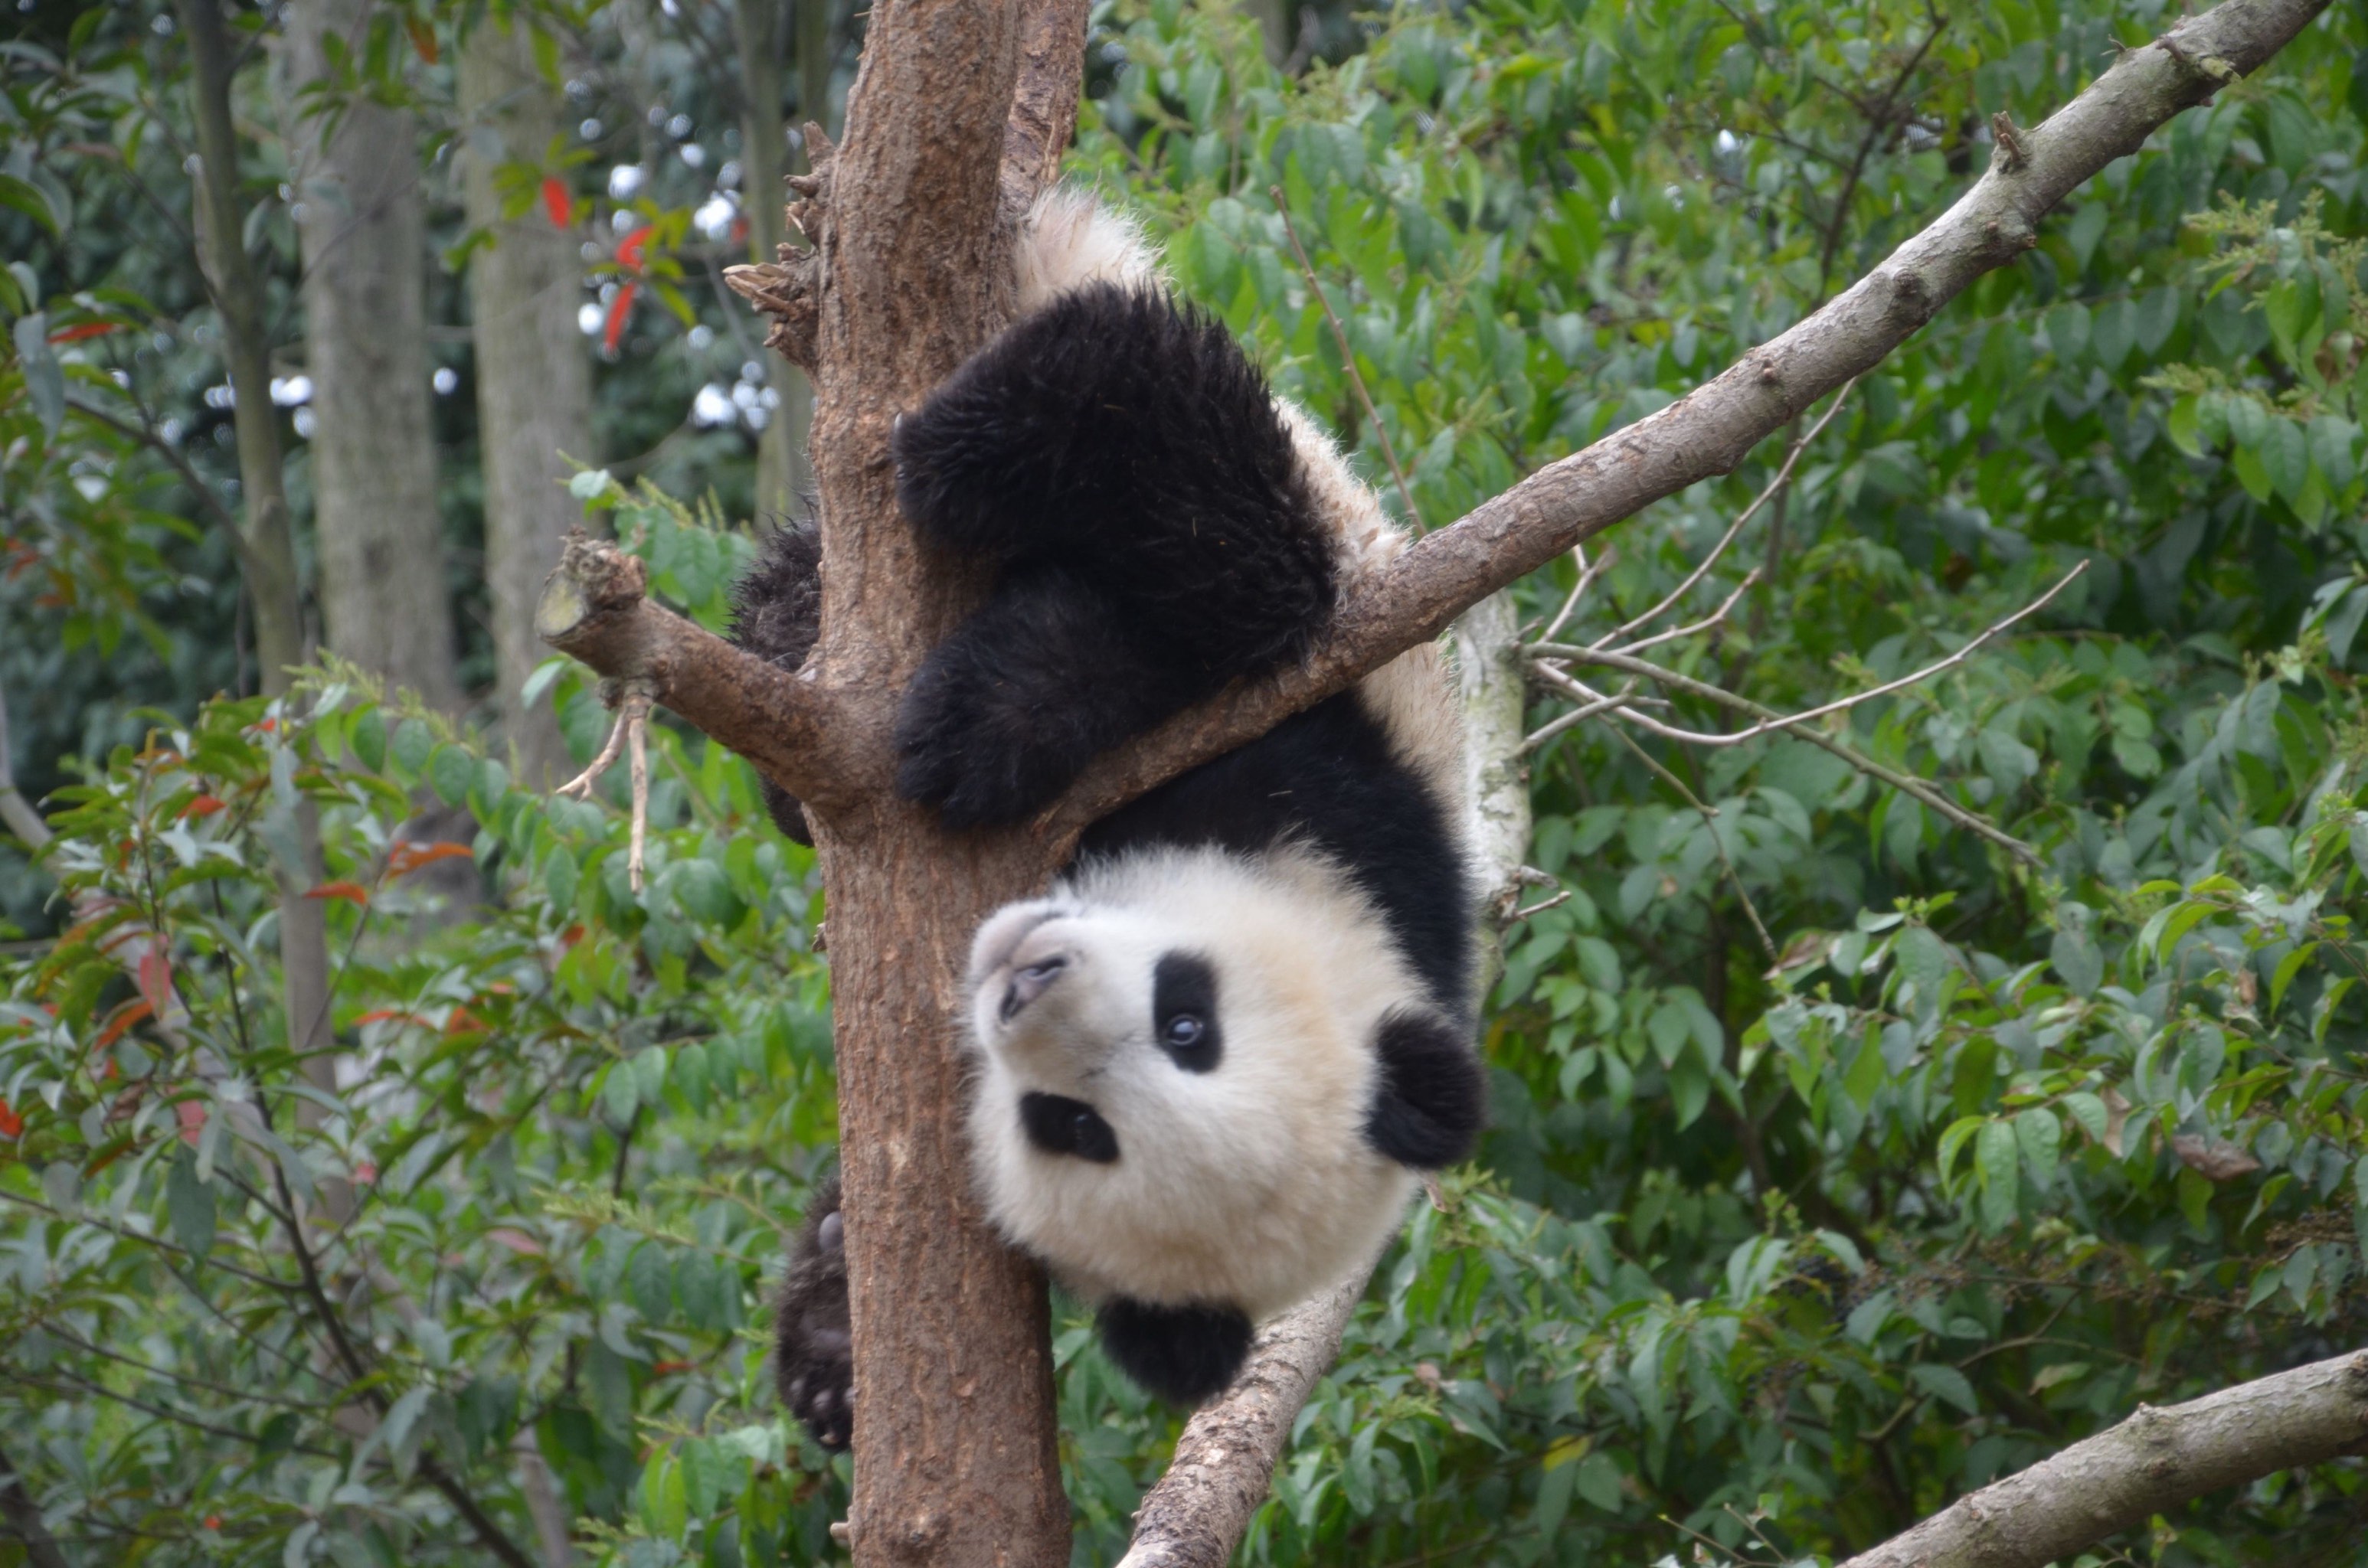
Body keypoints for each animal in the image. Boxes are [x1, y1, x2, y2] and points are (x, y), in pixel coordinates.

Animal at [738, 191, 1477, 1439]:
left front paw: (834, 1348)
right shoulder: (1345, 778)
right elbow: (1205, 571)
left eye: (1072, 1127)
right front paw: (970, 720)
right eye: (1192, 1018)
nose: (1026, 979)